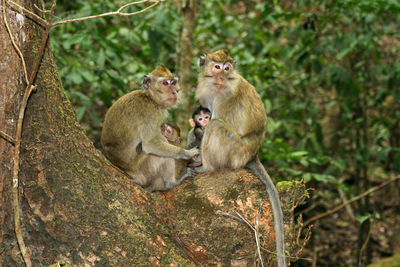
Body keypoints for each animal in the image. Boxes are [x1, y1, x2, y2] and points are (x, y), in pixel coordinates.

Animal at [195, 50, 286, 267]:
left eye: (226, 68)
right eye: (217, 67)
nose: (222, 77)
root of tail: (252, 155)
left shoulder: (225, 98)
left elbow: (212, 122)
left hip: (234, 151)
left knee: (216, 126)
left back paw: (206, 167)